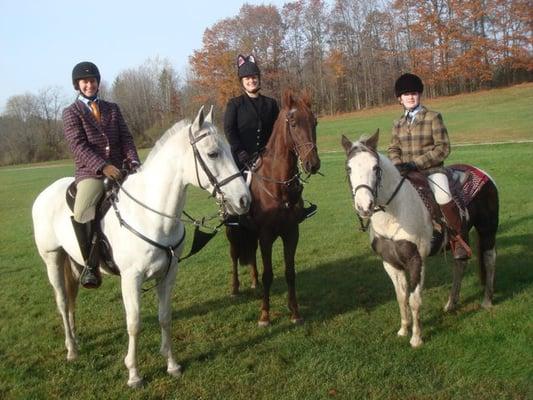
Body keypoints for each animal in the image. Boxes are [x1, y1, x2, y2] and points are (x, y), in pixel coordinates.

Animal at [225, 90, 320, 324]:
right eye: (293, 123)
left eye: (315, 122)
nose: (312, 164)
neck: (279, 184)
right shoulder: (266, 235)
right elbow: (269, 274)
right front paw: (265, 315)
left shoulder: (291, 233)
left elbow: (290, 272)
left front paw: (295, 312)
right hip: (233, 232)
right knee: (234, 256)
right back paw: (235, 288)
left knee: (251, 255)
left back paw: (254, 282)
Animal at [342, 131, 496, 346]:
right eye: (349, 168)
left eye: (375, 167)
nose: (364, 206)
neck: (395, 212)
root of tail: (484, 174)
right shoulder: (390, 263)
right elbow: (401, 297)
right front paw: (403, 330)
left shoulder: (416, 260)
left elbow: (414, 300)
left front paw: (416, 338)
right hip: (461, 238)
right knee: (460, 265)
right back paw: (451, 304)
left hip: (488, 230)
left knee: (489, 261)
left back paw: (487, 301)